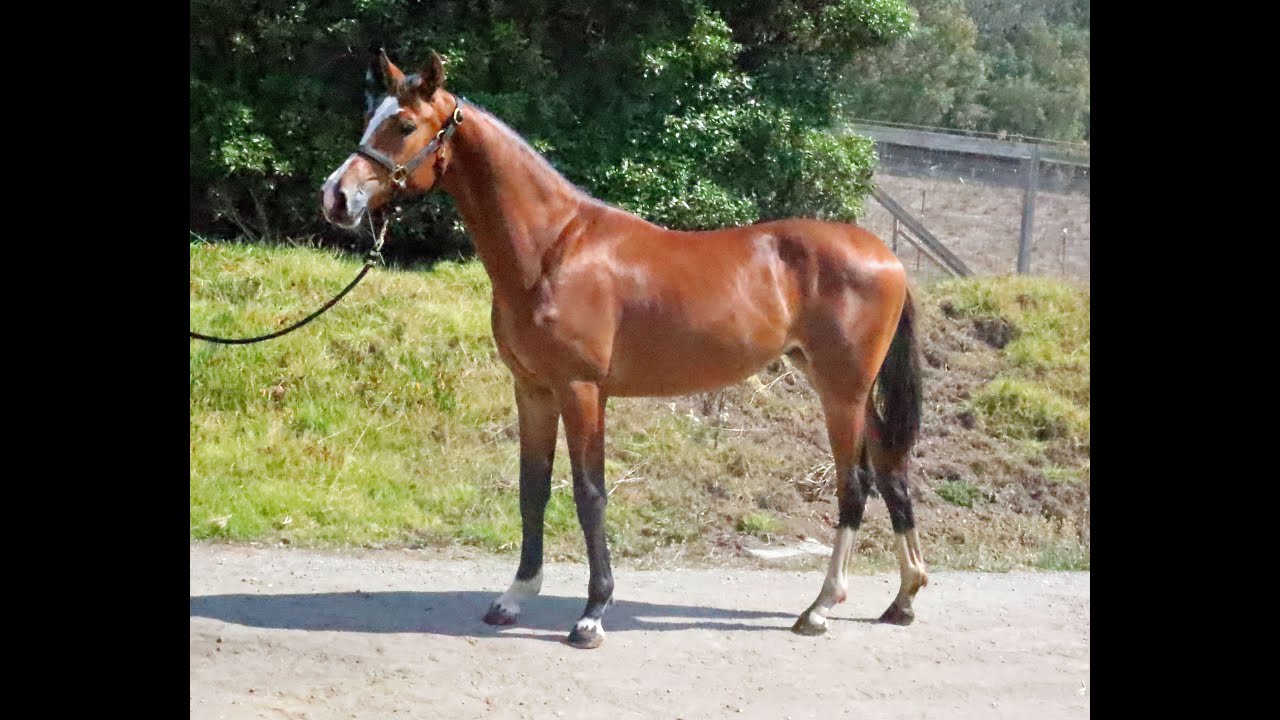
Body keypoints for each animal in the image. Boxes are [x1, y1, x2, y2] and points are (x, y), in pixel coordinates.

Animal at [321, 50, 928, 649]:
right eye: (371, 117)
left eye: (404, 125)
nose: (336, 196)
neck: (553, 248)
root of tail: (887, 257)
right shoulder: (534, 390)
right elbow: (532, 489)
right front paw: (515, 596)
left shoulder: (582, 390)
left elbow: (589, 492)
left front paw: (592, 613)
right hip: (850, 390)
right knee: (892, 472)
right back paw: (903, 597)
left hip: (840, 392)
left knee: (856, 485)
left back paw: (821, 607)